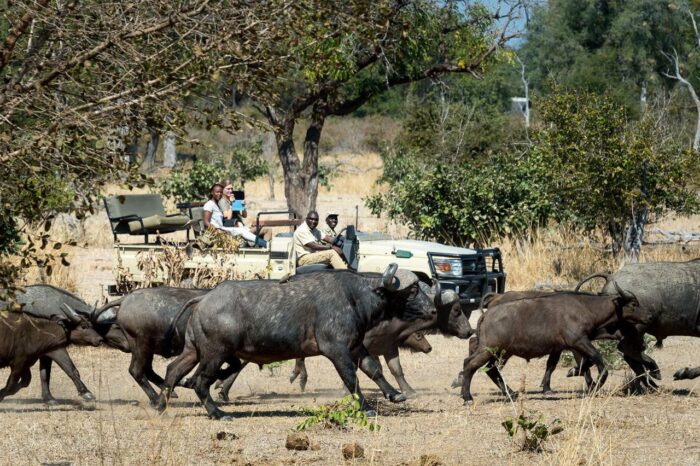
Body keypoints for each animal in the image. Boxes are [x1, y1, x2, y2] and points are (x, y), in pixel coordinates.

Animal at [157, 264, 442, 420]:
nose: (433, 310)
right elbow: (351, 378)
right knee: (200, 382)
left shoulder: (355, 345)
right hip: (214, 354)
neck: (355, 296)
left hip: (193, 351)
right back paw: (218, 413)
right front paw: (366, 407)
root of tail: (203, 299)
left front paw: (394, 394)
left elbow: (374, 368)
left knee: (172, 371)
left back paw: (160, 405)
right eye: (413, 291)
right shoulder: (336, 349)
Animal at [460, 292, 652, 404]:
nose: (649, 316)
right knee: (470, 364)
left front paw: (576, 376)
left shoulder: (567, 346)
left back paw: (511, 394)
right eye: (633, 304)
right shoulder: (579, 341)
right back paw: (468, 397)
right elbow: (598, 360)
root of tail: (486, 315)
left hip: (501, 352)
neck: (587, 307)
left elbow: (582, 363)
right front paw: (594, 385)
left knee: (491, 369)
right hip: (490, 349)